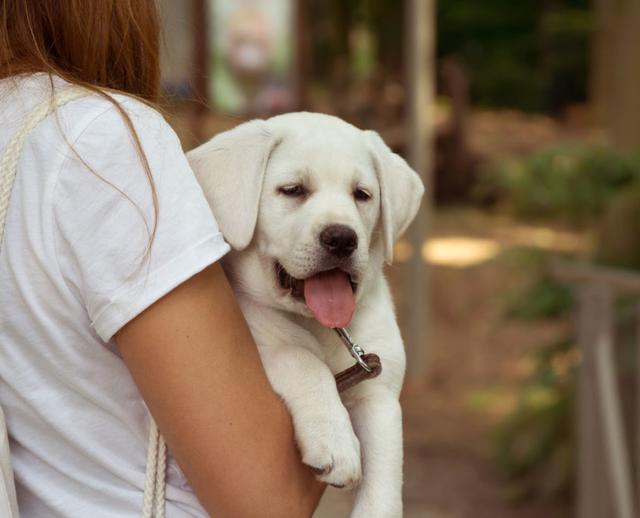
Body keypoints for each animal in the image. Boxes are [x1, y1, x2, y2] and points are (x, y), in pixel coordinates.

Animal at [188, 115, 422, 518]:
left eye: (362, 195)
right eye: (293, 190)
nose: (342, 238)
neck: (320, 327)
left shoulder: (379, 393)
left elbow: (384, 482)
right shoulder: (255, 343)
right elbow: (303, 361)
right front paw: (335, 441)